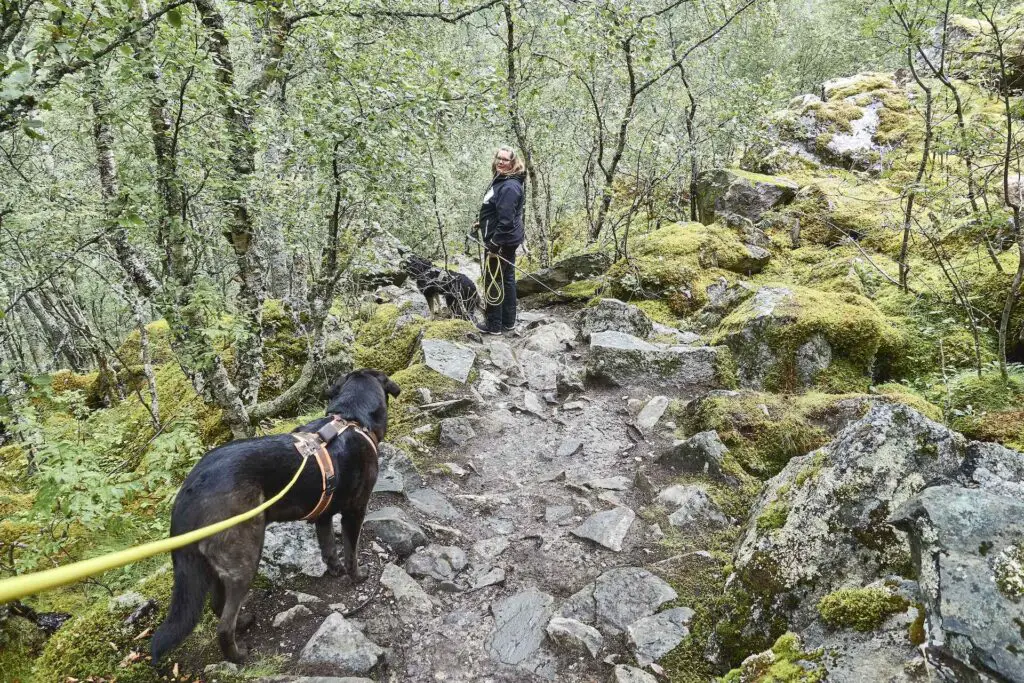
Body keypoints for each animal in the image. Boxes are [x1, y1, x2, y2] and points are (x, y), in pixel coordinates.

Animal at [151, 370, 399, 663]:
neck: (351, 418)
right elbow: (351, 552)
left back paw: (244, 622)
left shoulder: (324, 515)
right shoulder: (355, 511)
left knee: (217, 605)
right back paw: (238, 654)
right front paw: (358, 577)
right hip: (245, 555)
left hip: (214, 565)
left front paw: (334, 570)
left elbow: (329, 548)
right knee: (223, 624)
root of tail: (187, 494)